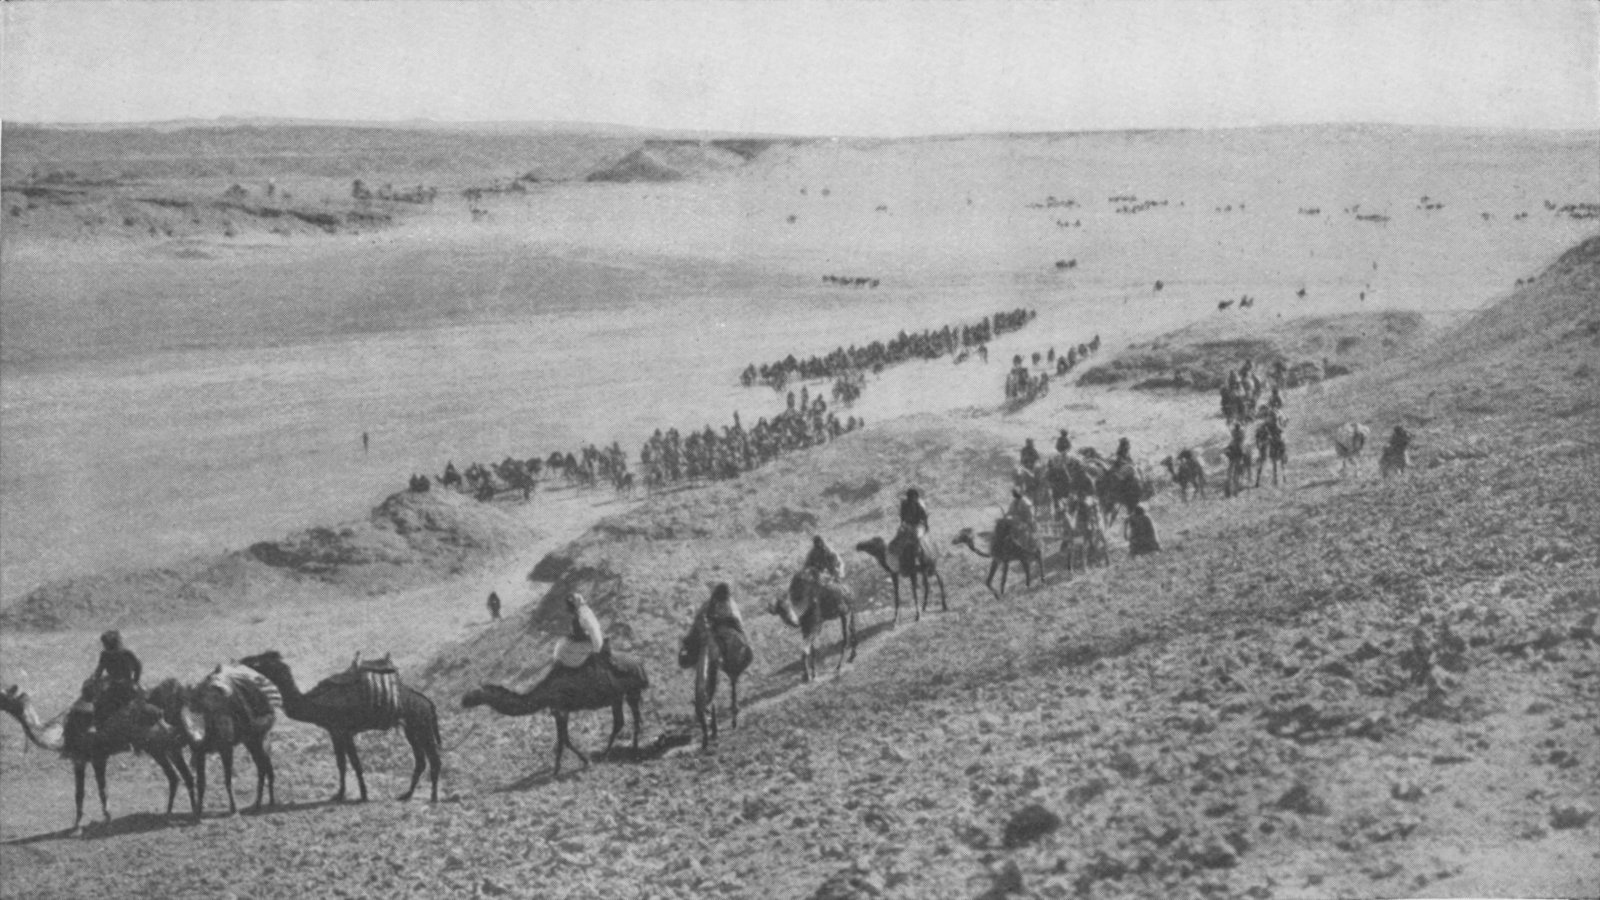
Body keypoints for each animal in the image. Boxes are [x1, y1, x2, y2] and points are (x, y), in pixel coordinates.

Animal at [0, 675, 195, 832]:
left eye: (3, 694)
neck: (61, 734)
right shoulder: (78, 759)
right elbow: (79, 794)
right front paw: (76, 826)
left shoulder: (98, 756)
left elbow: (102, 790)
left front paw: (106, 820)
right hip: (159, 747)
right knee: (177, 776)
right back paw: (170, 812)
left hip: (161, 744)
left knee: (181, 775)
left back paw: (190, 813)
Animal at [233, 650, 444, 797]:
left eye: (261, 660)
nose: (244, 660)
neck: (315, 702)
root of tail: (429, 703)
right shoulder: (334, 732)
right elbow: (341, 764)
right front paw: (340, 794)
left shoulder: (344, 731)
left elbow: (355, 764)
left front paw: (363, 795)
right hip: (412, 729)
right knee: (421, 760)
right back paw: (407, 794)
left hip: (421, 726)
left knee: (433, 758)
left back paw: (433, 797)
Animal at [460, 646, 646, 775]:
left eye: (474, 692)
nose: (462, 702)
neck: (545, 692)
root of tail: (639, 663)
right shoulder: (558, 711)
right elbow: (563, 739)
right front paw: (563, 767)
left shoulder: (560, 710)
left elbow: (564, 740)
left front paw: (577, 764)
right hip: (621, 695)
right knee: (626, 721)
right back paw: (627, 751)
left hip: (628, 692)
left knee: (629, 720)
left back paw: (613, 754)